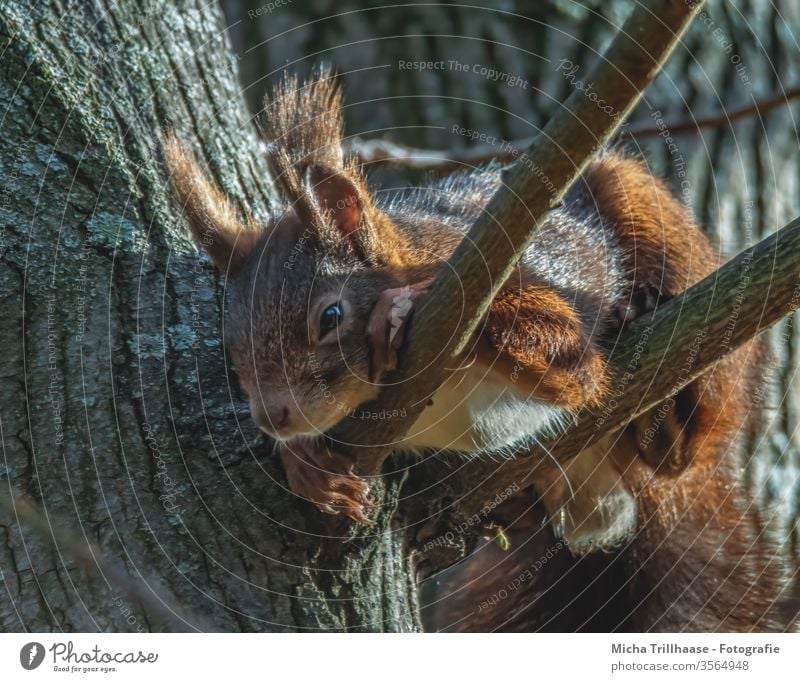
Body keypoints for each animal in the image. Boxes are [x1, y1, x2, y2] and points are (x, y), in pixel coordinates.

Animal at [166, 69, 796, 628]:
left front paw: (400, 309)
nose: (273, 417)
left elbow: (573, 363)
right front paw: (307, 466)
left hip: (662, 242)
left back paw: (661, 405)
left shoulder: (507, 273)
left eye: (331, 316)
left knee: (683, 451)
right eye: (231, 347)